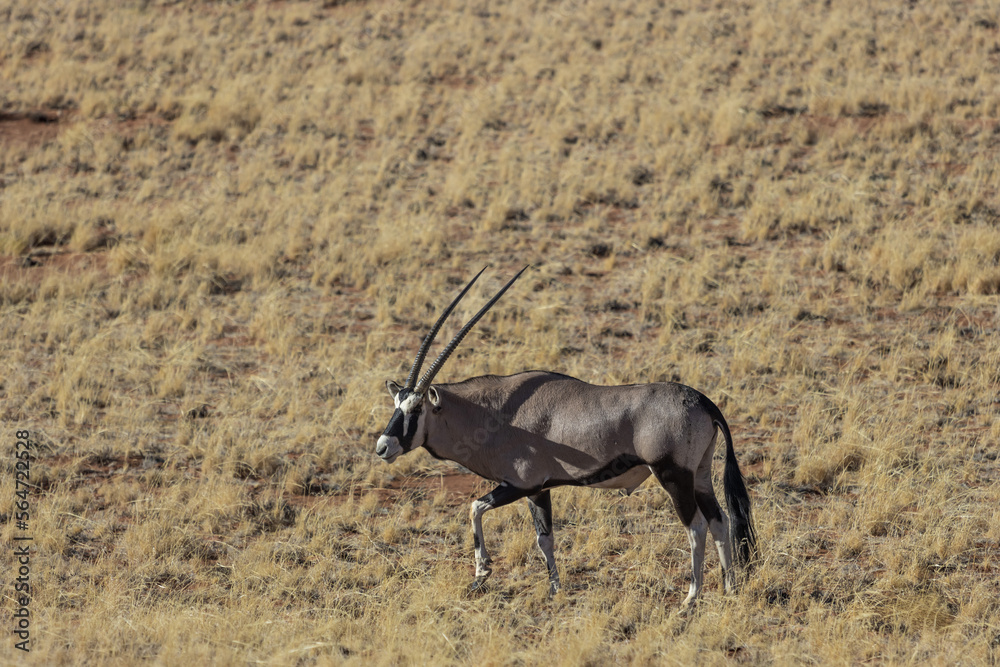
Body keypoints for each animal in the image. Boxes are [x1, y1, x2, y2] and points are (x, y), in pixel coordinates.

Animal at [375, 267, 757, 609]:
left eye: (416, 409)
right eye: (396, 404)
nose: (382, 447)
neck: (494, 413)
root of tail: (703, 401)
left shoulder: (520, 485)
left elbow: (475, 508)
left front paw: (482, 573)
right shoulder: (538, 490)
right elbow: (545, 539)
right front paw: (555, 590)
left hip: (673, 476)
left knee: (696, 527)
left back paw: (691, 598)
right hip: (700, 474)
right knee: (719, 521)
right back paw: (729, 589)